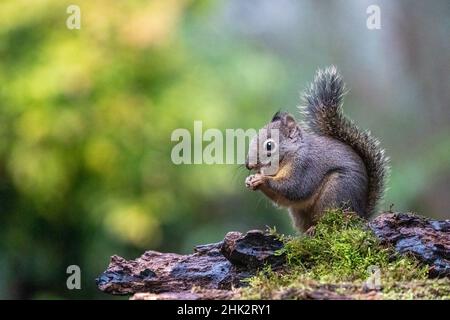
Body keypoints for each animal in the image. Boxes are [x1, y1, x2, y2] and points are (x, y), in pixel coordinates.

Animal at [244, 67, 388, 232]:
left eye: (269, 145)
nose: (248, 165)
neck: (292, 153)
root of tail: (361, 215)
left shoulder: (305, 166)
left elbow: (294, 187)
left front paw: (261, 179)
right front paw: (250, 180)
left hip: (335, 193)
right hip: (300, 212)